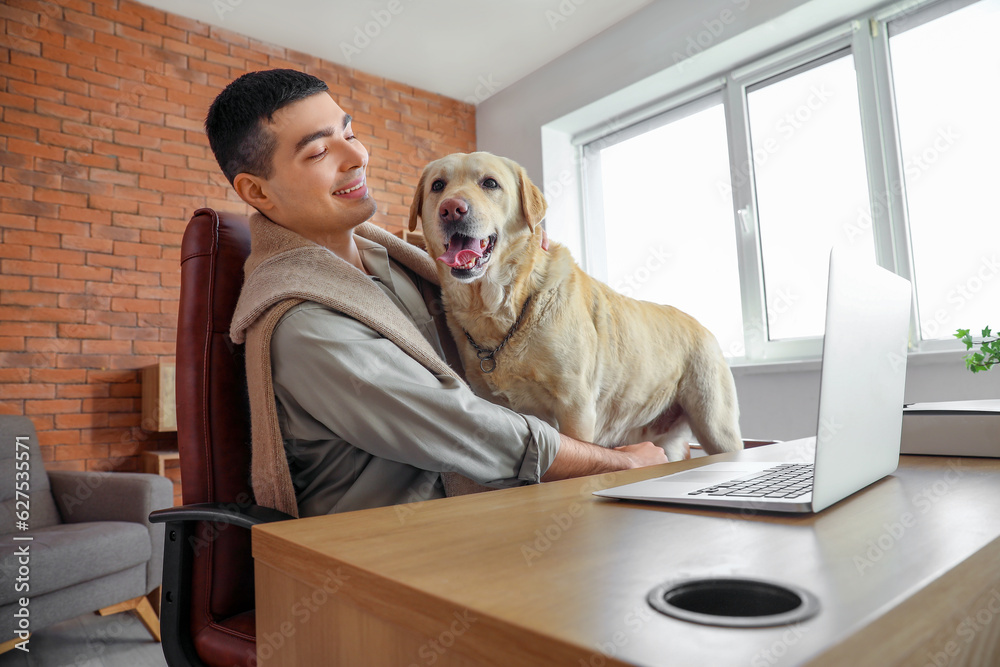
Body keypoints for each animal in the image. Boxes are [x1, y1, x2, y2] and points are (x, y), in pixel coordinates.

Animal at [406, 151, 744, 460]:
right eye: (438, 185)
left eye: (490, 183)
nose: (452, 209)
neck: (502, 309)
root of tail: (702, 326)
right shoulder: (497, 405)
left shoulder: (576, 407)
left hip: (716, 427)